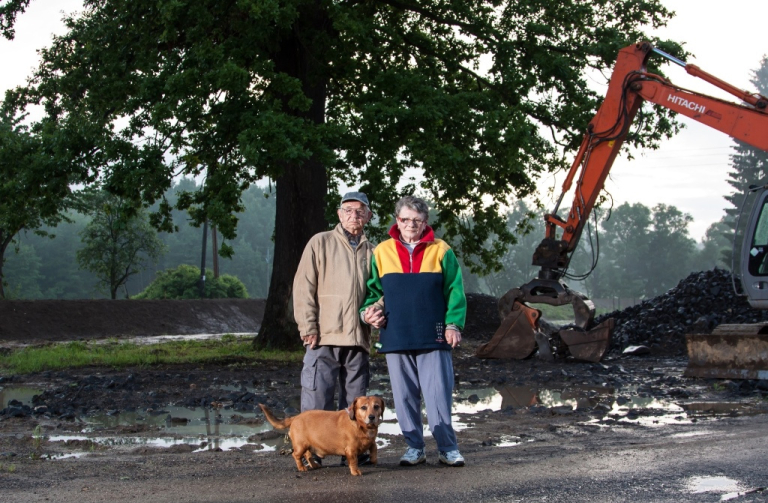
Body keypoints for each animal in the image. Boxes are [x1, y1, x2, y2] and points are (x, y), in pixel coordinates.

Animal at [260, 398, 388, 476]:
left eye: (376, 406)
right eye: (363, 407)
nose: (371, 417)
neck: (360, 425)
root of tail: (295, 417)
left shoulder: (371, 441)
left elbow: (374, 447)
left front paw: (373, 459)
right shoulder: (350, 450)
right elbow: (353, 461)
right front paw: (355, 471)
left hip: (307, 445)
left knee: (308, 455)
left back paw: (314, 465)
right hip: (300, 446)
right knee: (296, 455)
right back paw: (302, 467)